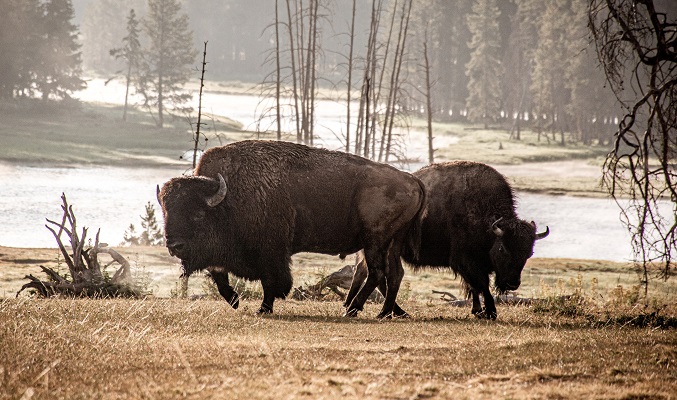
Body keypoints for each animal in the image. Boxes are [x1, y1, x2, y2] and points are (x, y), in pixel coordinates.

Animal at [157, 140, 425, 317]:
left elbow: (271, 281)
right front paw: (235, 301)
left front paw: (263, 309)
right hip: (392, 241)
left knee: (377, 272)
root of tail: (412, 179)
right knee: (393, 274)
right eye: (166, 213)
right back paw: (386, 312)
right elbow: (218, 274)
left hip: (375, 240)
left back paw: (353, 310)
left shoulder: (272, 253)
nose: (174, 245)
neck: (228, 198)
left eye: (198, 214)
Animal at [345, 161, 549, 319]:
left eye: (529, 253)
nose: (512, 284)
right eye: (503, 249)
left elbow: (474, 287)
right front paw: (490, 312)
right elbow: (481, 285)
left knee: (367, 272)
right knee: (377, 275)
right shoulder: (466, 261)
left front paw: (478, 311)